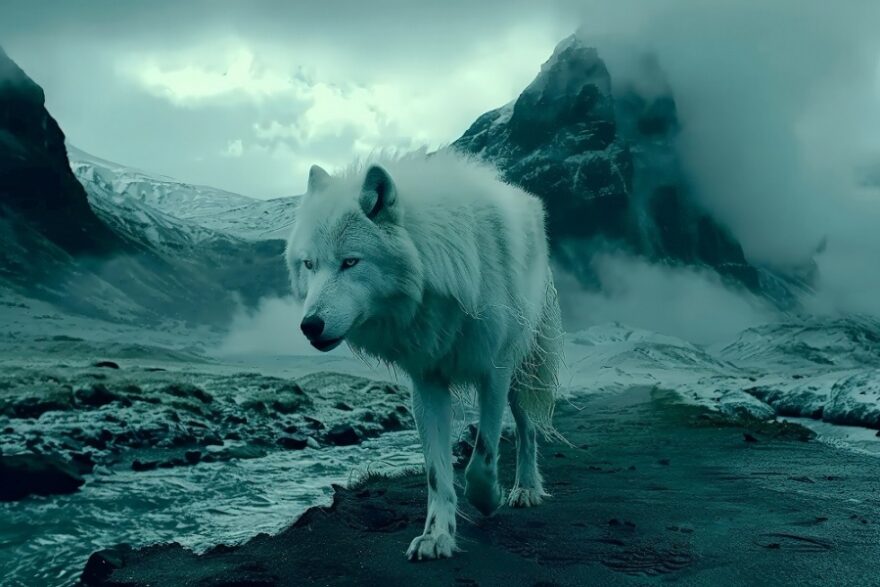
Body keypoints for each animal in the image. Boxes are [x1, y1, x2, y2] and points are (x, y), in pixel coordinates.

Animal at [286, 151, 562, 561]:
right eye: (309, 265)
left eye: (350, 262)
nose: (309, 326)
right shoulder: (427, 380)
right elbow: (435, 472)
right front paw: (437, 535)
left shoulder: (493, 372)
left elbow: (483, 455)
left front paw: (486, 498)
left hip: (521, 371)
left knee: (527, 430)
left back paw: (526, 488)